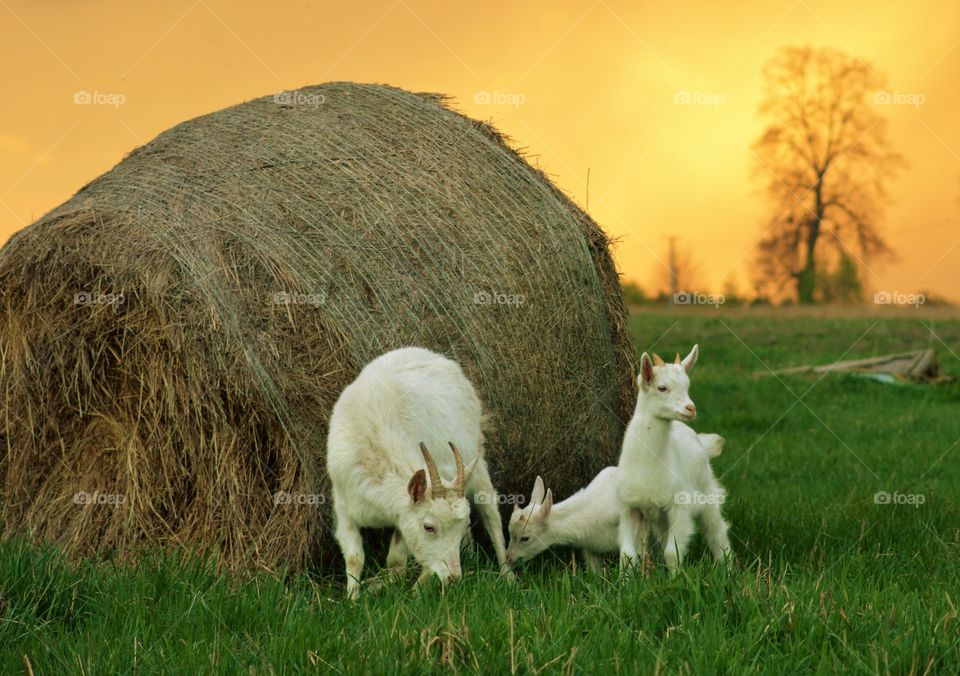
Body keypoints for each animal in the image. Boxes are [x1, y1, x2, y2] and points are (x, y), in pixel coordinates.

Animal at [326, 346, 509, 598]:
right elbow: (355, 559)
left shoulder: (403, 516)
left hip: (476, 462)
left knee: (492, 516)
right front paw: (354, 598)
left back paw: (508, 578)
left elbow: (395, 562)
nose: (454, 577)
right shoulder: (343, 504)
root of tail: (432, 355)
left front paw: (407, 593)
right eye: (429, 527)